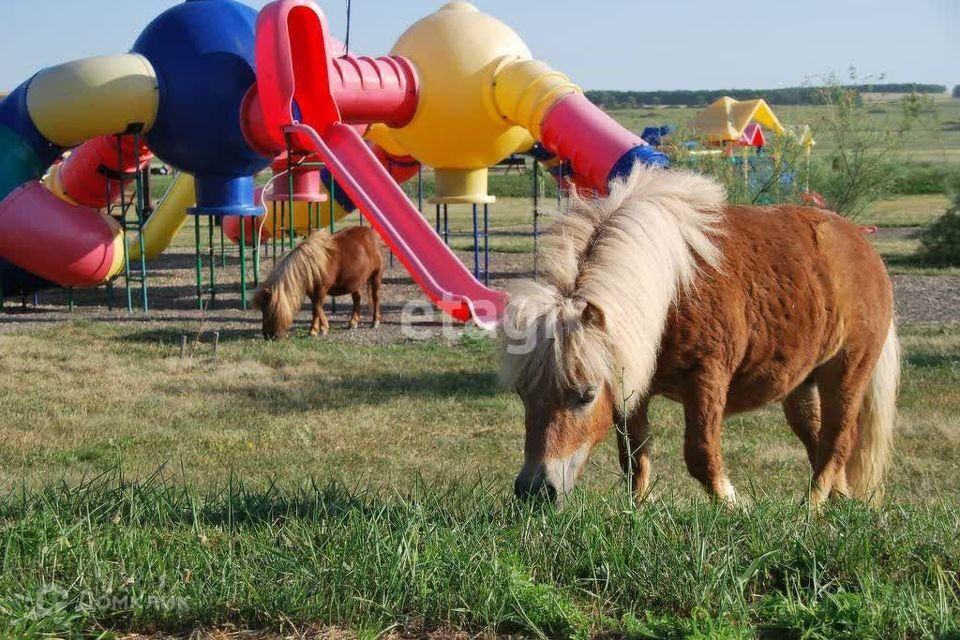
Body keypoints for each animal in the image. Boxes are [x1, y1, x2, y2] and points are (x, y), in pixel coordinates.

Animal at [502, 165, 900, 510]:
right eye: (522, 394)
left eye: (586, 396)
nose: (536, 491)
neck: (671, 289)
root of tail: (862, 244)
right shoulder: (632, 381)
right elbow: (634, 456)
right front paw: (637, 511)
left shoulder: (707, 377)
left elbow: (701, 455)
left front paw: (733, 505)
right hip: (802, 385)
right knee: (819, 442)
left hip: (847, 371)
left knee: (837, 442)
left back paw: (810, 510)